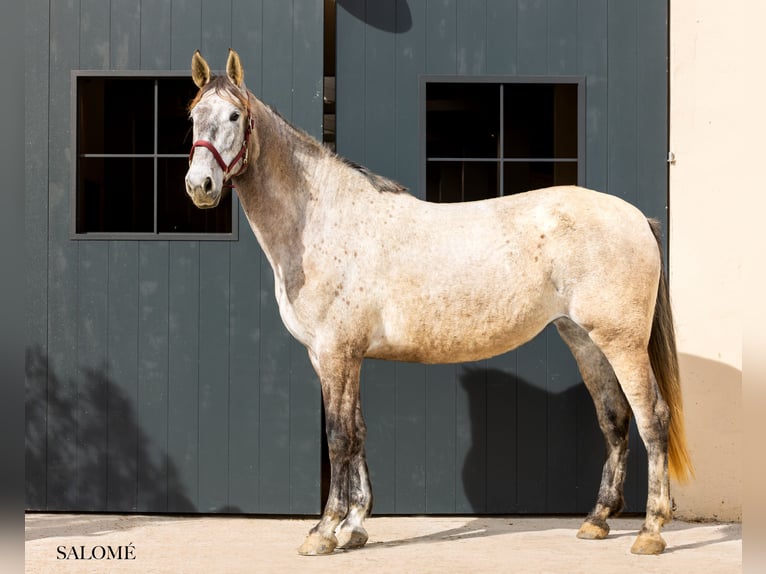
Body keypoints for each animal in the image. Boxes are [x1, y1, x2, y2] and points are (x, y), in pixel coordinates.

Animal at [185, 49, 693, 556]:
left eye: (234, 116)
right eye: (193, 116)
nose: (200, 186)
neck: (323, 219)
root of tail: (636, 217)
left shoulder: (335, 354)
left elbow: (339, 437)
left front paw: (324, 531)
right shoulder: (340, 356)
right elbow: (359, 433)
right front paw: (355, 527)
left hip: (622, 342)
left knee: (652, 418)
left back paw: (650, 531)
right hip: (584, 338)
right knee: (614, 418)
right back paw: (597, 520)